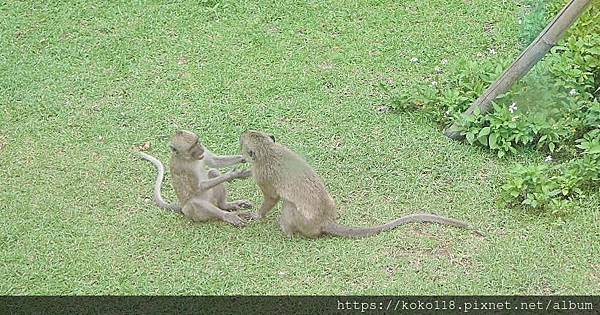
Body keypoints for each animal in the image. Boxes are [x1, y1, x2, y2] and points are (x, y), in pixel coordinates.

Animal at [238, 130, 478, 237]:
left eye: (242, 142)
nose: (241, 134)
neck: (269, 151)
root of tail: (326, 221)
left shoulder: (262, 175)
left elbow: (272, 197)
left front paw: (258, 215)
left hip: (304, 222)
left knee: (289, 207)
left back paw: (286, 231)